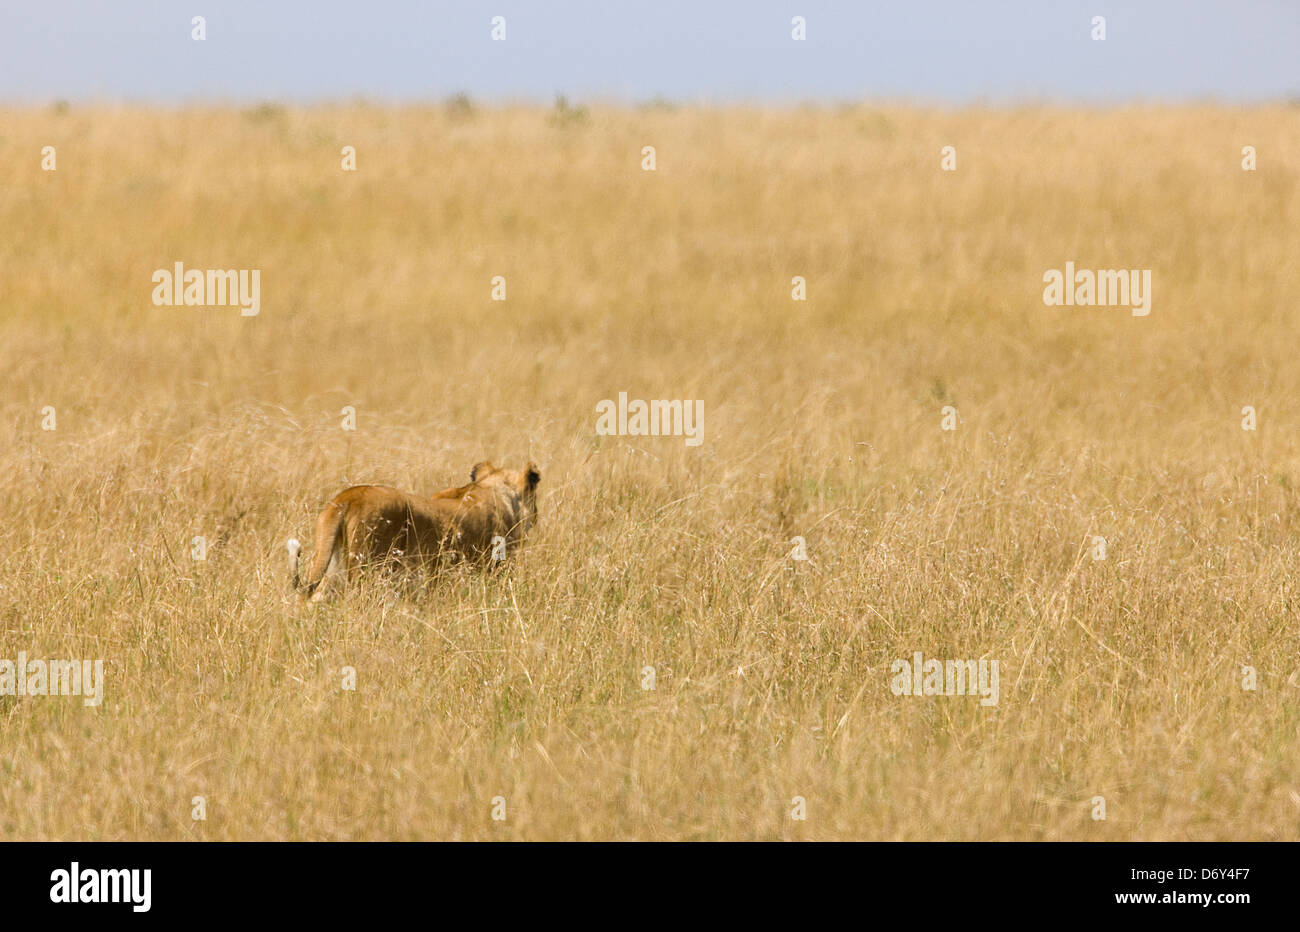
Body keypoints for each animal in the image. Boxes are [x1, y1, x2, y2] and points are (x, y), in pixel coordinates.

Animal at [287, 460, 540, 603]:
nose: (537, 516)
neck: (492, 489)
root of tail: (347, 497)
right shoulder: (495, 569)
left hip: (332, 569)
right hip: (366, 573)